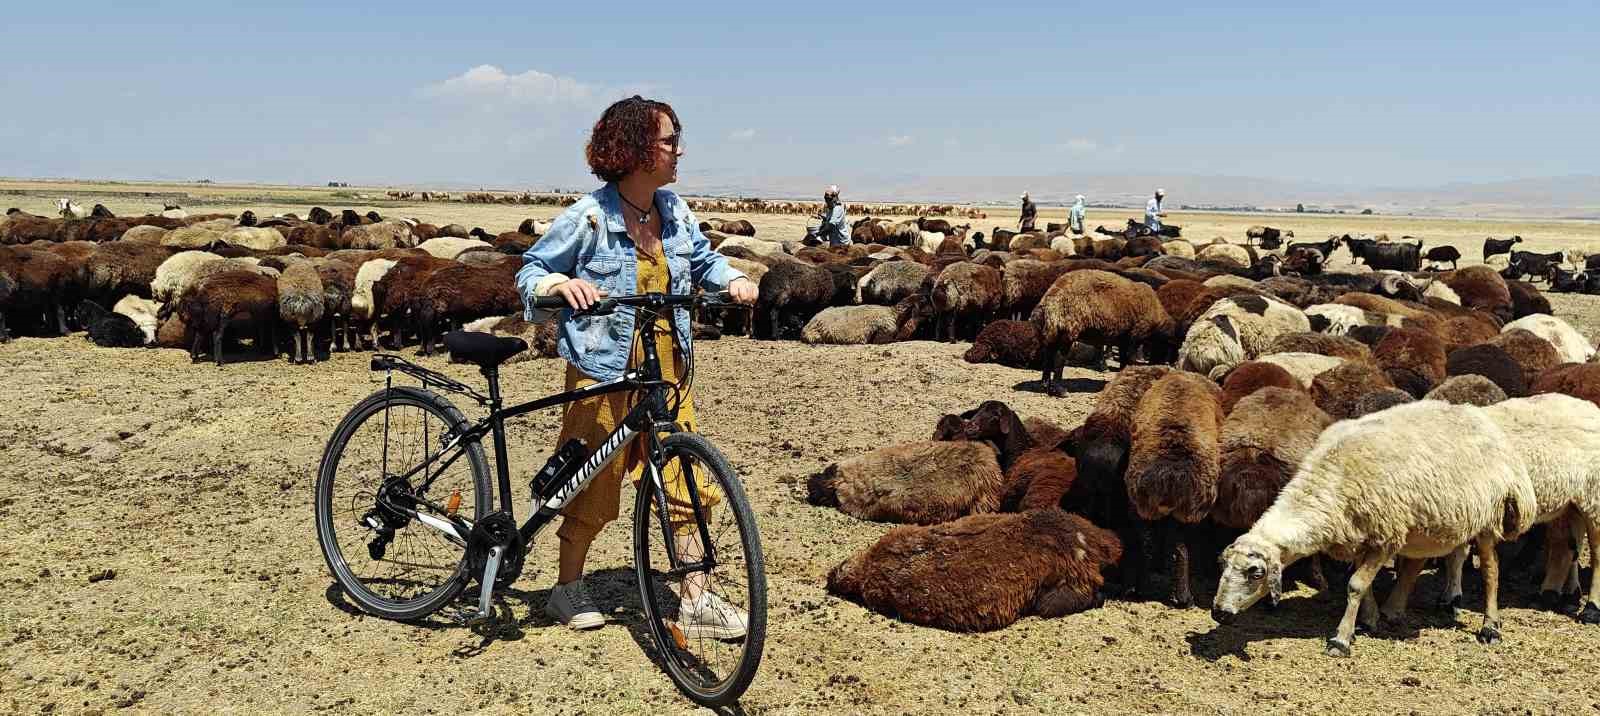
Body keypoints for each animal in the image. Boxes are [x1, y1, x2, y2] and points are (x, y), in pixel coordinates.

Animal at [1126, 372, 1222, 607]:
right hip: (1191, 509)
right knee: (1181, 548)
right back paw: (1183, 598)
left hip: (1142, 506)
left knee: (1147, 544)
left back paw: (1141, 588)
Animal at [1209, 399, 1536, 658]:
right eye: (1222, 565)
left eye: (1256, 573)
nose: (1218, 612)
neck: (1329, 481)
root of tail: (1478, 416)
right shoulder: (1357, 537)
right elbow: (1361, 585)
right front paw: (1368, 620)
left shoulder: (1385, 537)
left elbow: (1355, 585)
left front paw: (1341, 639)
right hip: (1440, 520)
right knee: (1437, 558)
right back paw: (1415, 606)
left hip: (1489, 517)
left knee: (1491, 570)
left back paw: (1490, 626)